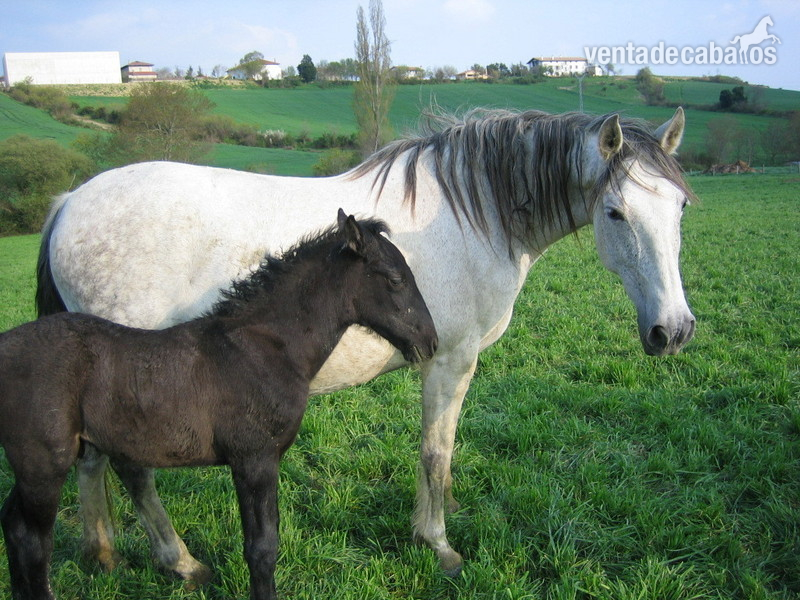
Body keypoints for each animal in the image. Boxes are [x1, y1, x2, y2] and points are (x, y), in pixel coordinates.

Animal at [0, 211, 438, 600]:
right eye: (396, 278)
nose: (430, 341)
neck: (263, 348)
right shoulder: (254, 460)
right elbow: (262, 548)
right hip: (44, 467)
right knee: (34, 540)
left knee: (15, 525)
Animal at [37, 107, 696, 579]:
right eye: (615, 213)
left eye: (682, 207)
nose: (674, 330)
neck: (475, 215)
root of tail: (70, 202)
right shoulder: (450, 361)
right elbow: (435, 451)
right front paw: (438, 544)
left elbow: (444, 454)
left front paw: (442, 515)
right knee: (131, 470)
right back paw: (179, 561)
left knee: (91, 462)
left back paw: (102, 552)